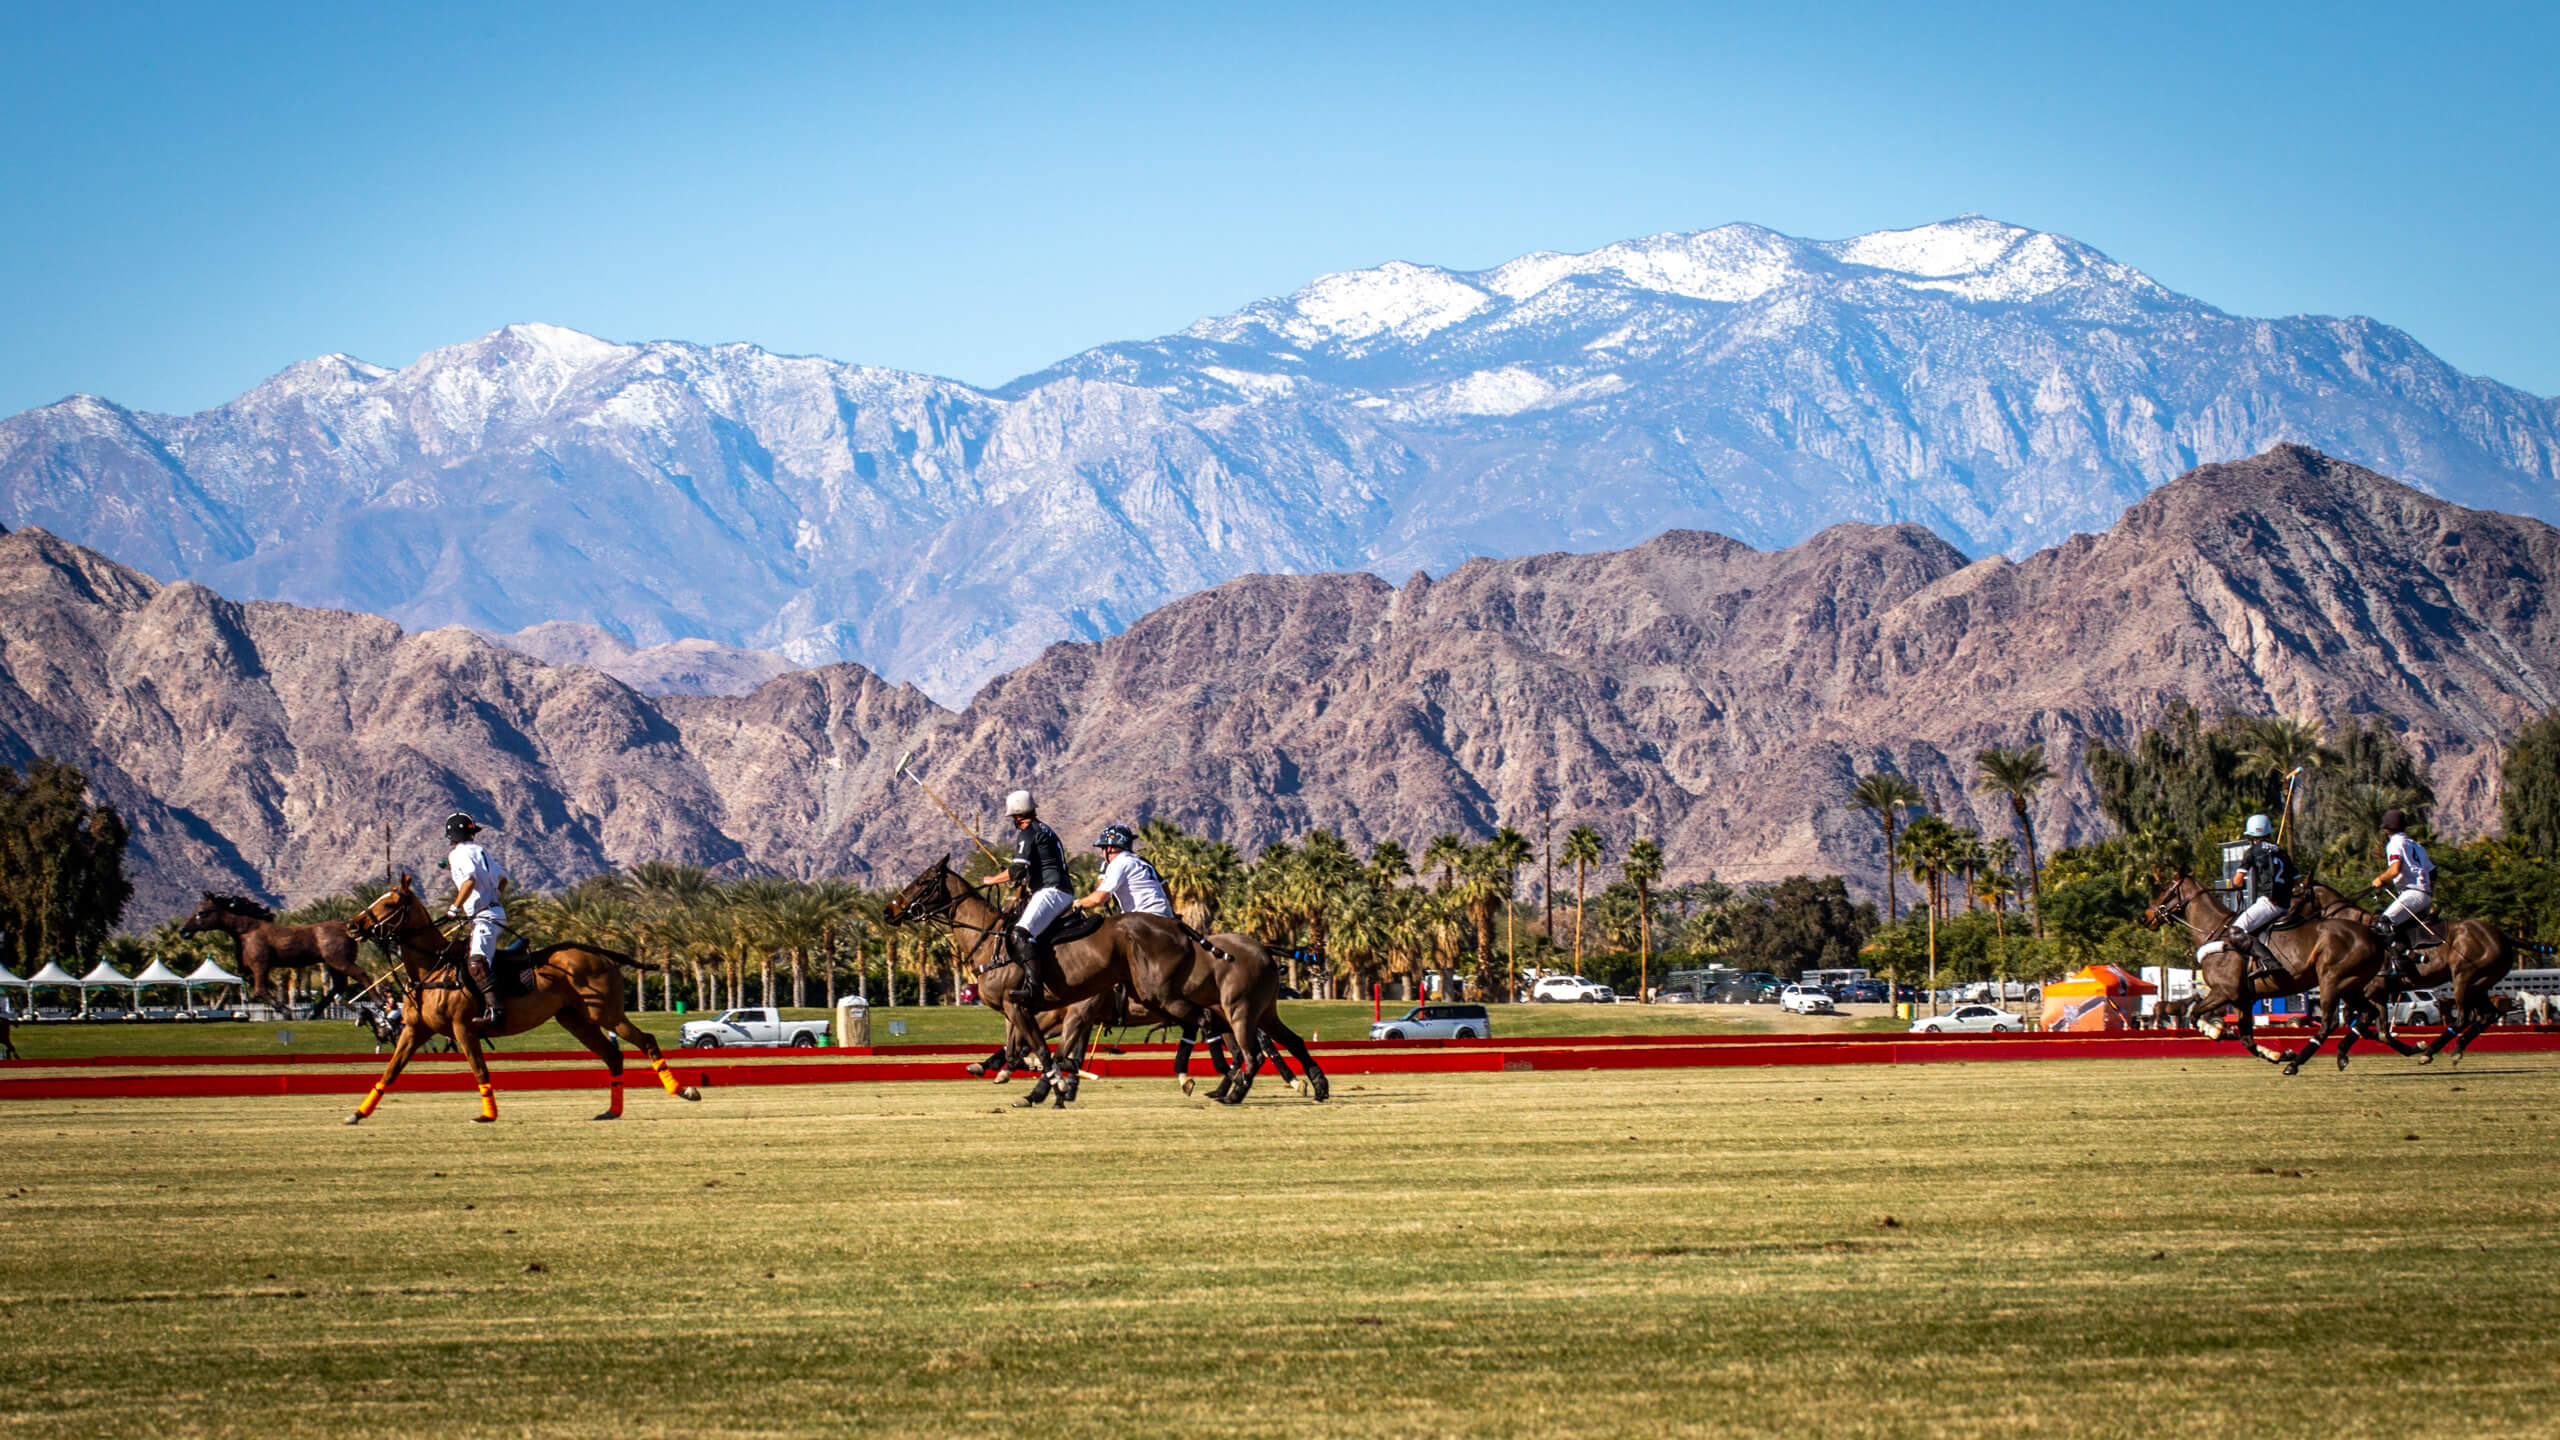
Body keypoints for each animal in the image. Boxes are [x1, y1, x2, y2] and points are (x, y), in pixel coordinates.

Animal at [183, 891, 373, 1004]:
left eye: (201, 913)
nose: (183, 931)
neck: (248, 931)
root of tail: (348, 927)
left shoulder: (260, 965)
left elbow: (260, 990)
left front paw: (285, 1011)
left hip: (339, 961)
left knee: (361, 974)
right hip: (334, 964)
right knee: (339, 986)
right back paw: (312, 1012)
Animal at [340, 860, 706, 1122]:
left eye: (390, 903)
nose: (352, 926)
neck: (434, 966)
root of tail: (599, 951)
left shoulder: (462, 1027)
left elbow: (479, 1069)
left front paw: (488, 1115)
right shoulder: (415, 1029)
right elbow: (390, 1070)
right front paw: (357, 1113)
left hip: (606, 1012)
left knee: (646, 1041)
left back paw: (683, 1090)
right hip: (575, 1019)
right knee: (613, 1055)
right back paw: (611, 1111)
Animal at [2150, 871, 2385, 1071]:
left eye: (2167, 888)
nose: (2147, 915)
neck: (2215, 930)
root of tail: (2374, 936)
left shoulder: (2225, 991)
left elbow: (2195, 1014)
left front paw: (2215, 1031)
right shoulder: (2242, 1000)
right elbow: (2246, 1039)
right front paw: (2278, 1054)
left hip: (2332, 980)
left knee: (2330, 1021)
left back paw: (2296, 1064)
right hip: (2351, 985)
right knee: (2368, 1013)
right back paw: (2341, 1053)